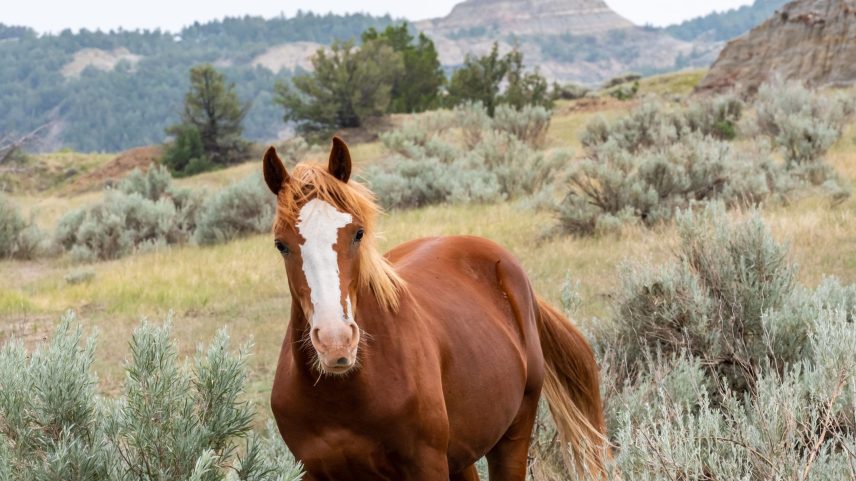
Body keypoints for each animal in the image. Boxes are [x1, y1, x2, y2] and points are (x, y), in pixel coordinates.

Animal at [264, 137, 607, 480]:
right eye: (281, 245)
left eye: (358, 233)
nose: (336, 343)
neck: (343, 397)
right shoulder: (312, 472)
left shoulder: (426, 464)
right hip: (463, 452)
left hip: (514, 432)